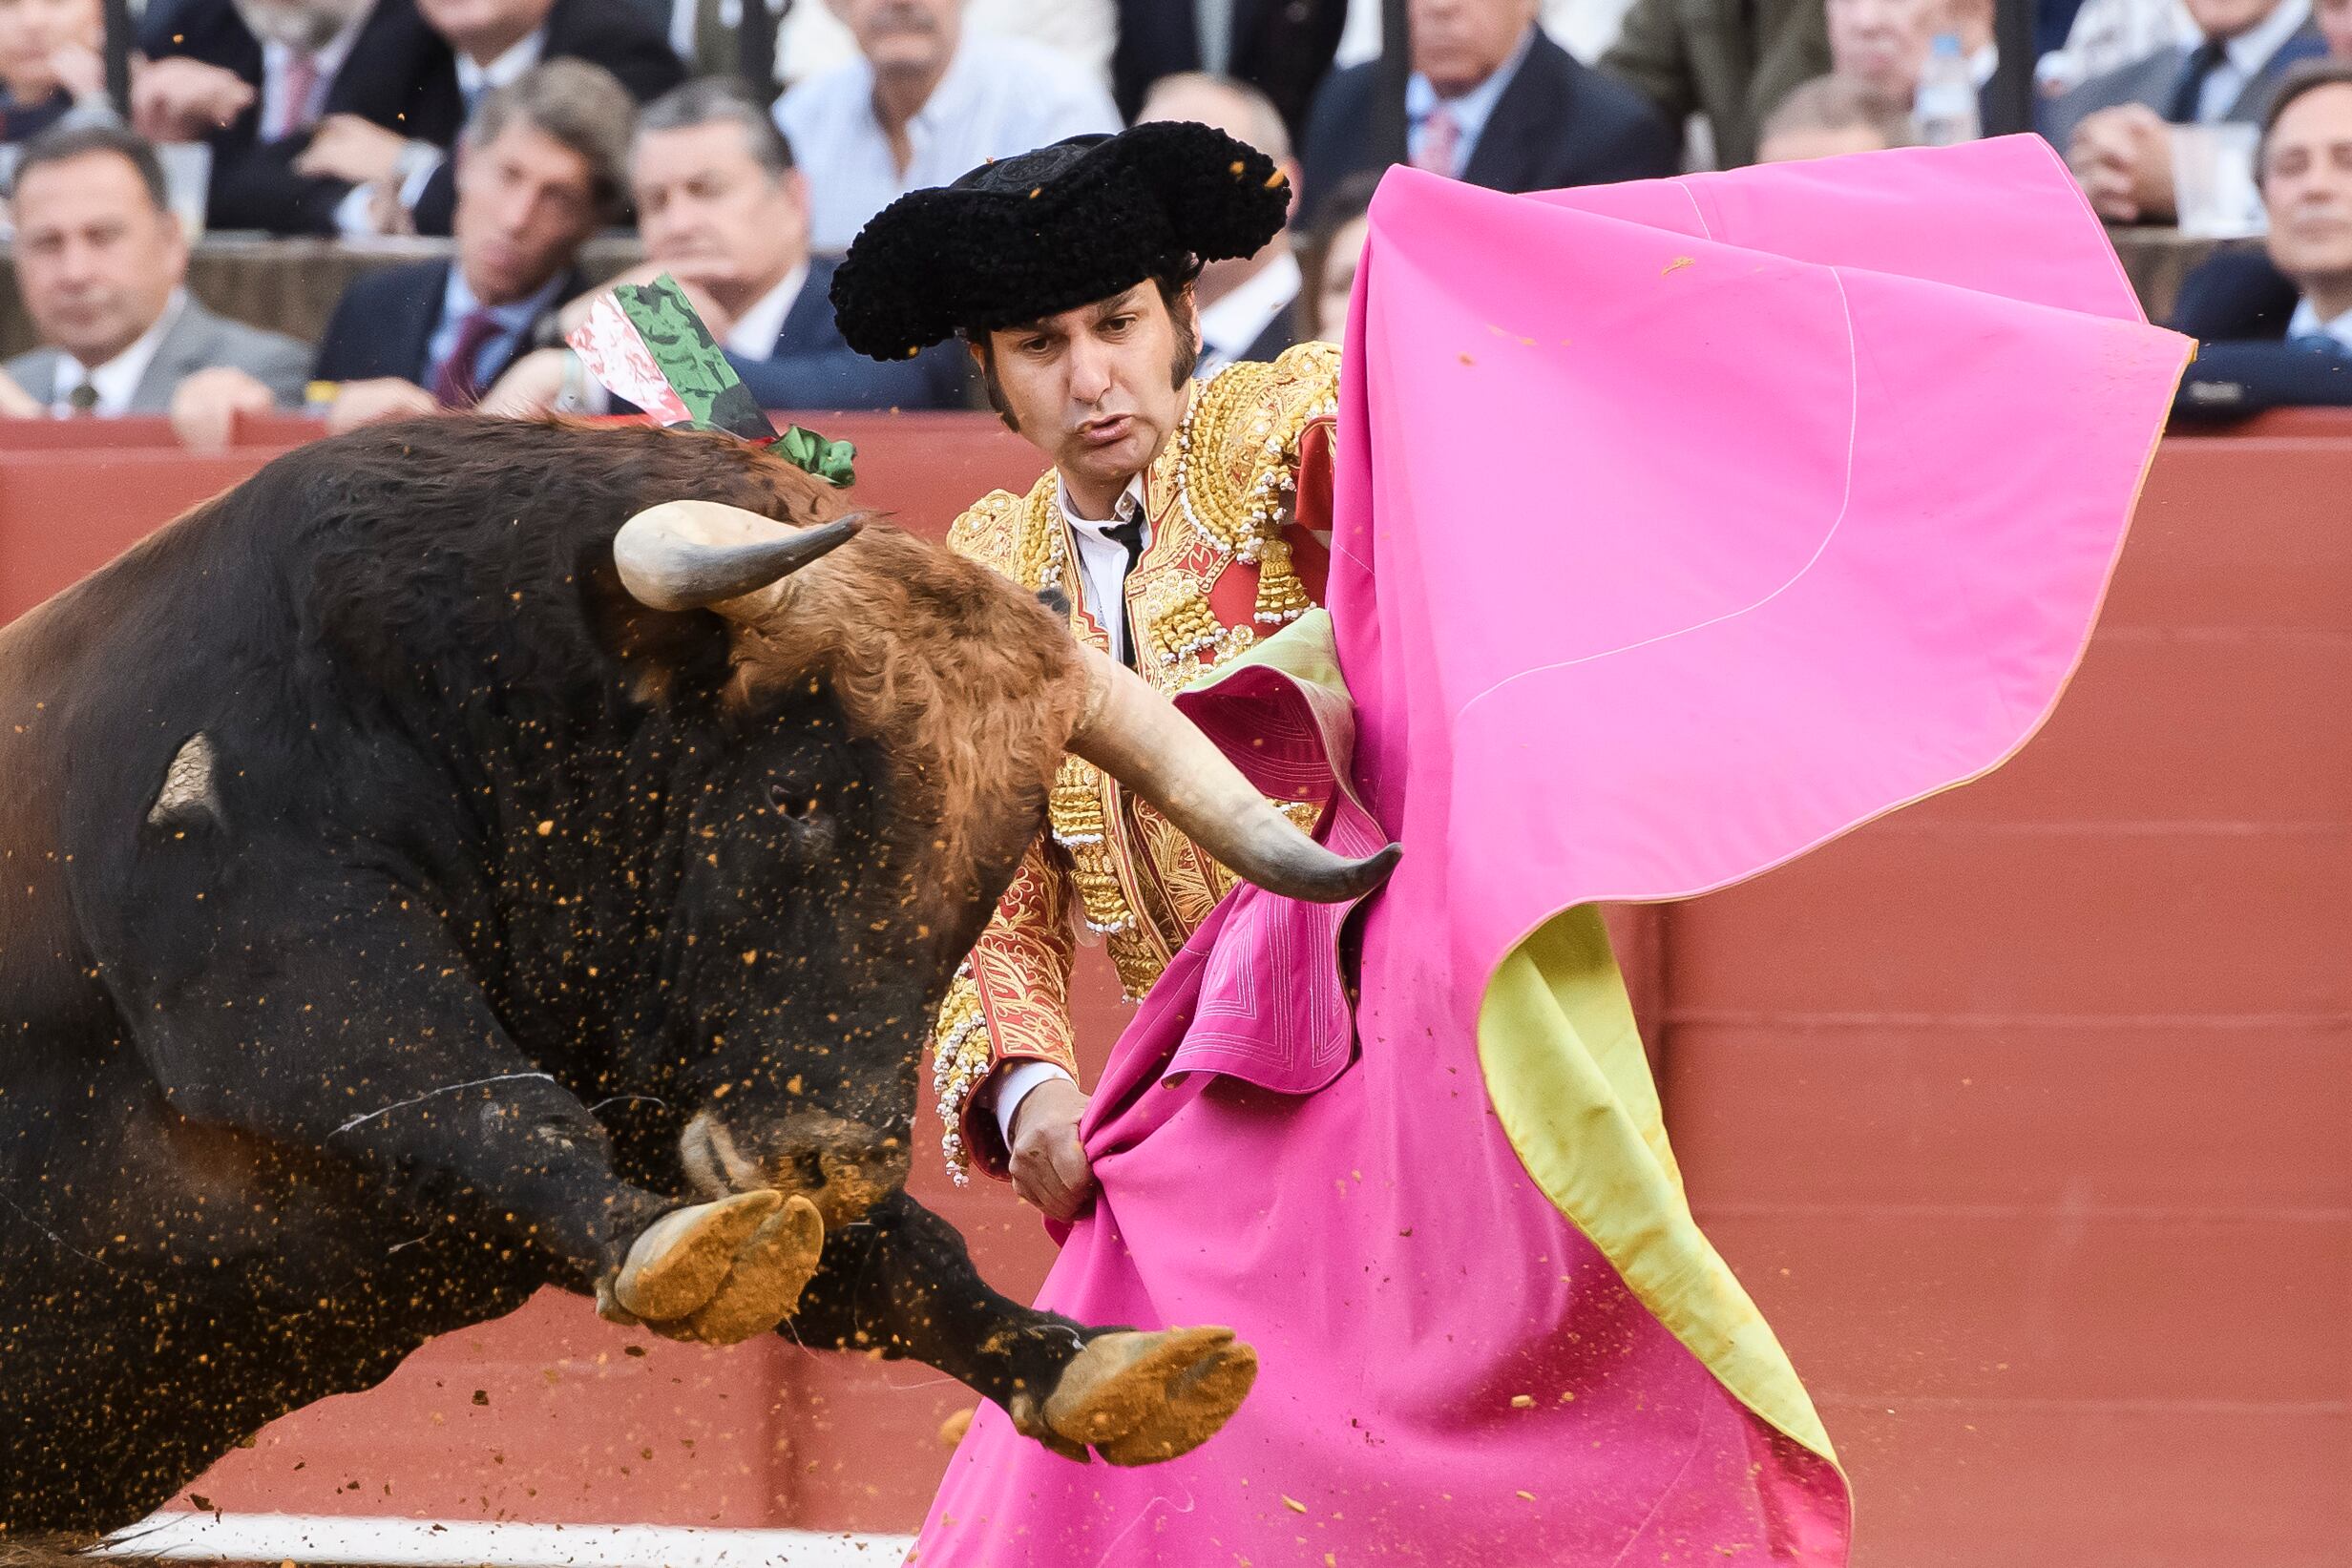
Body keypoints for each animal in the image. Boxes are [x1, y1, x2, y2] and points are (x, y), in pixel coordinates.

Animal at [0, 415, 1392, 1533]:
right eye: (792, 797)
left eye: (993, 863)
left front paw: (1097, 1363)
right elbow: (475, 1099)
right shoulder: (275, 969)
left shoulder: (694, 1084)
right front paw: (669, 1245)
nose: (833, 1157)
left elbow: (896, 1263)